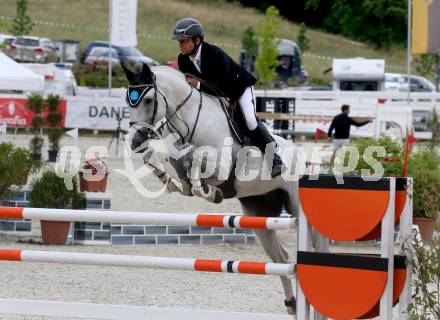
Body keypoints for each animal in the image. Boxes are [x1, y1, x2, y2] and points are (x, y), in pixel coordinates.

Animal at [122, 63, 300, 316]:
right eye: (128, 101)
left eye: (147, 100)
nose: (136, 142)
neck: (188, 120)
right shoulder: (178, 158)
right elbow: (171, 167)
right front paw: (173, 180)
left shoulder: (222, 166)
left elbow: (196, 160)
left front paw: (211, 193)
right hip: (260, 215)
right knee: (281, 258)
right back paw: (291, 304)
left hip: (294, 204)